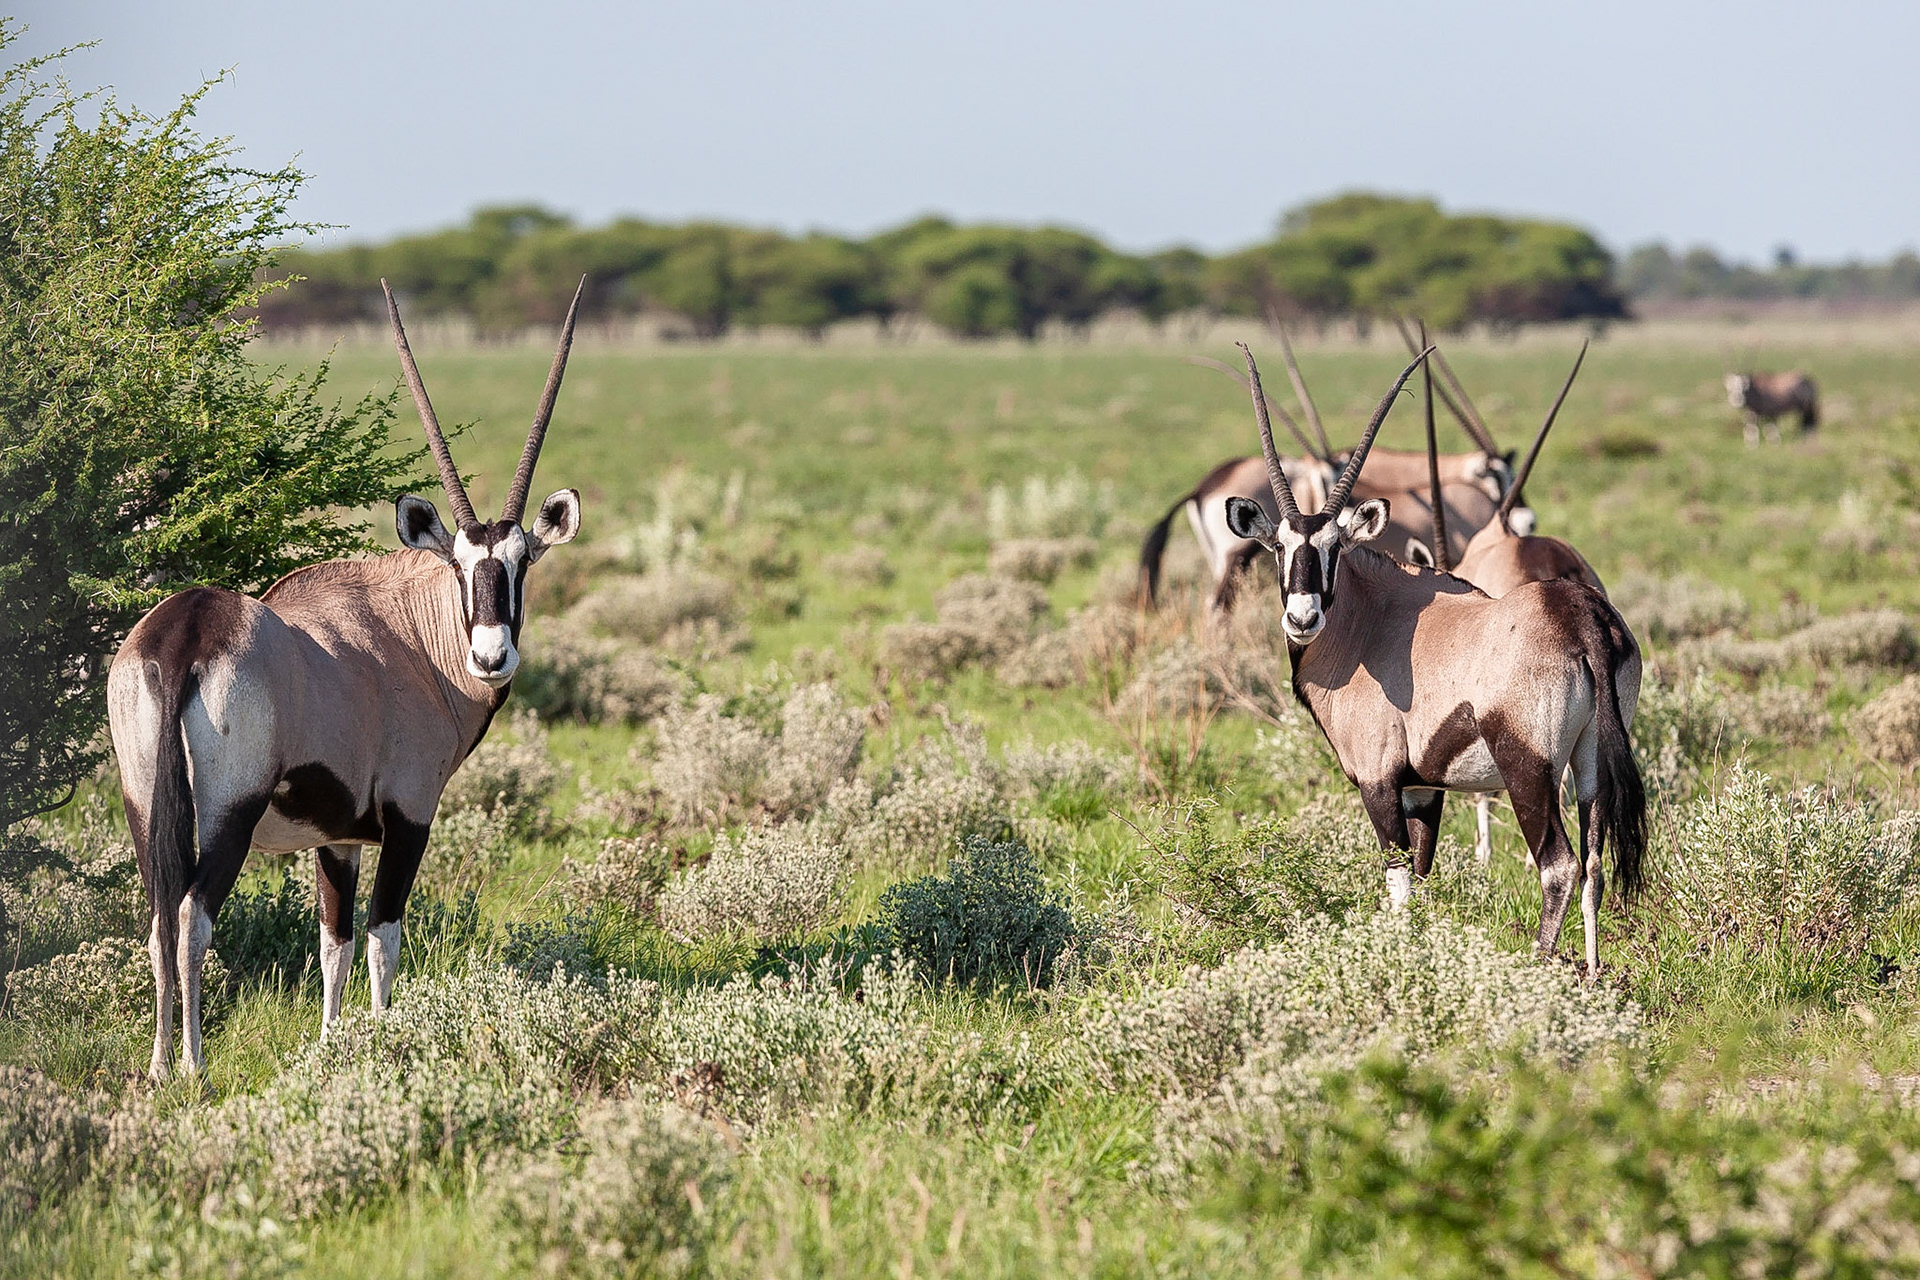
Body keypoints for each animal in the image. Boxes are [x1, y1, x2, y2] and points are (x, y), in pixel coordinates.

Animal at [104, 278, 579, 1082]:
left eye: (521, 564)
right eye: (460, 564)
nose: (491, 658)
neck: (409, 635)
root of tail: (185, 636)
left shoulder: (338, 838)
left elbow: (334, 944)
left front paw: (332, 1043)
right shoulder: (409, 816)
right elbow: (384, 938)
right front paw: (386, 1037)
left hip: (146, 805)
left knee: (159, 918)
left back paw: (160, 1066)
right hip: (229, 813)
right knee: (192, 916)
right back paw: (194, 1066)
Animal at [1221, 345, 1643, 974]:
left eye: (1334, 547)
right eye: (1280, 547)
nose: (1301, 617)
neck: (1371, 622)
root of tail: (1580, 614)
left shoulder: (1379, 781)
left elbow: (1397, 884)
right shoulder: (1423, 788)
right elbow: (1420, 879)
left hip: (1529, 769)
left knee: (1560, 866)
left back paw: (1538, 968)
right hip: (1590, 759)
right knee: (1593, 864)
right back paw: (1590, 977)